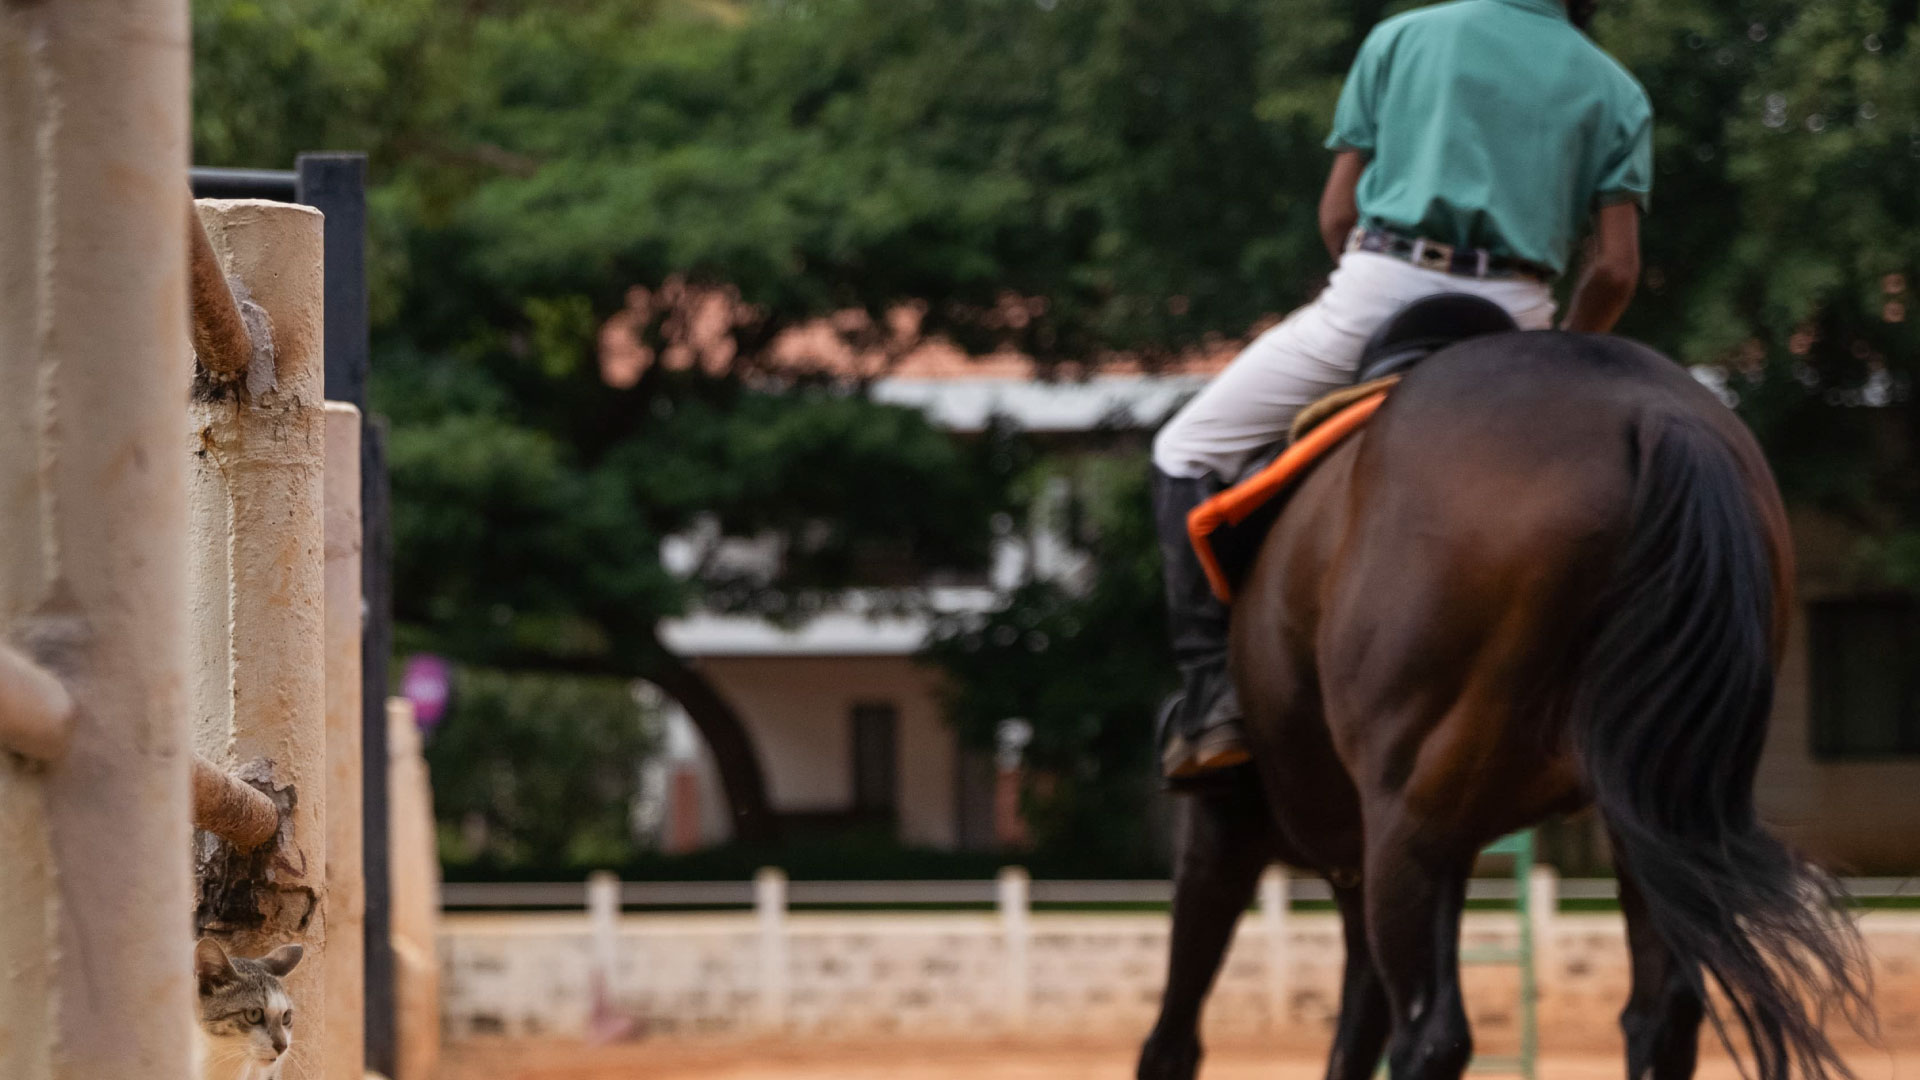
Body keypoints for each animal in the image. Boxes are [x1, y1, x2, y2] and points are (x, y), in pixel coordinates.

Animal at [1136, 330, 1873, 1080]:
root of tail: (1648, 410)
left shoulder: (1229, 830)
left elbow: (1178, 1032)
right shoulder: (1348, 859)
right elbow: (1351, 1033)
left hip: (1412, 821)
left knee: (1431, 1033)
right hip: (1655, 811)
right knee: (1659, 1014)